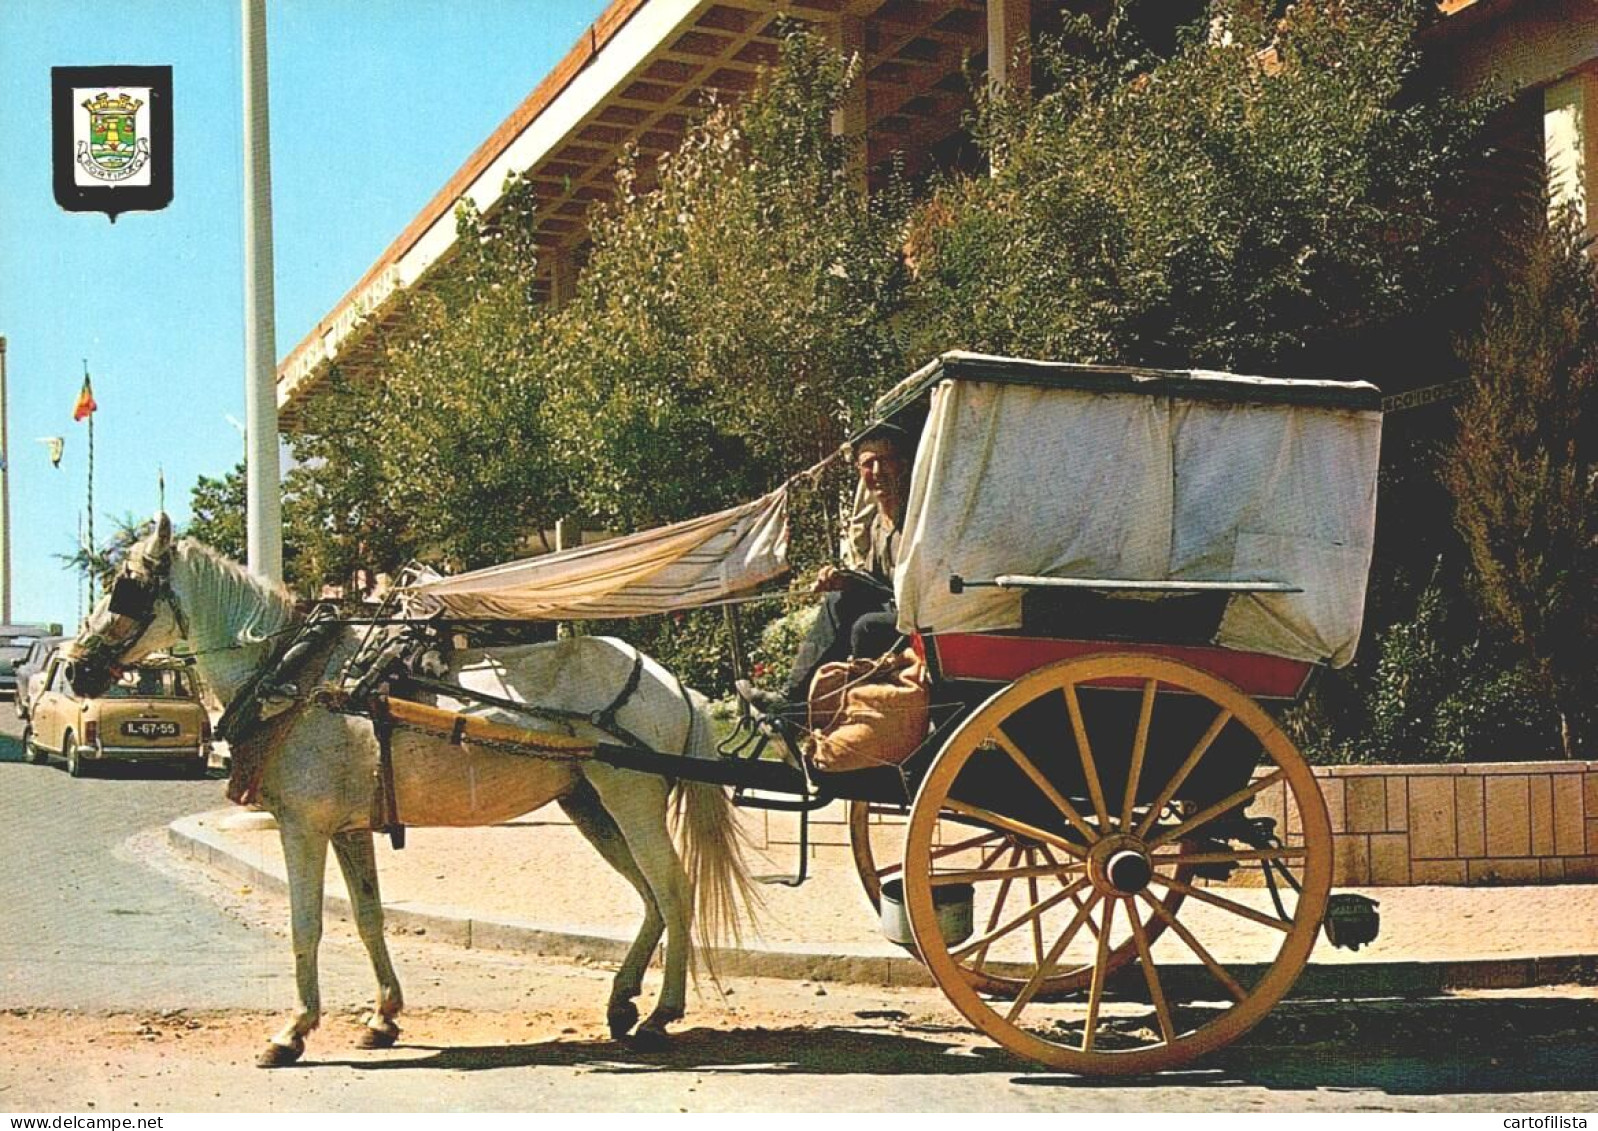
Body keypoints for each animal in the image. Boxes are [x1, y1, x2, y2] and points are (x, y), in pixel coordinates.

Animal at [65, 517, 751, 1067]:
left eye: (124, 586)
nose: (74, 669)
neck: (297, 676)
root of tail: (674, 684)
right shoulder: (348, 829)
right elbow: (368, 918)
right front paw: (383, 1016)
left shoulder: (303, 827)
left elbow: (305, 925)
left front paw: (293, 1031)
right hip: (588, 805)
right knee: (650, 898)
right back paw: (622, 1003)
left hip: (631, 800)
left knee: (674, 890)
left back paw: (661, 1013)